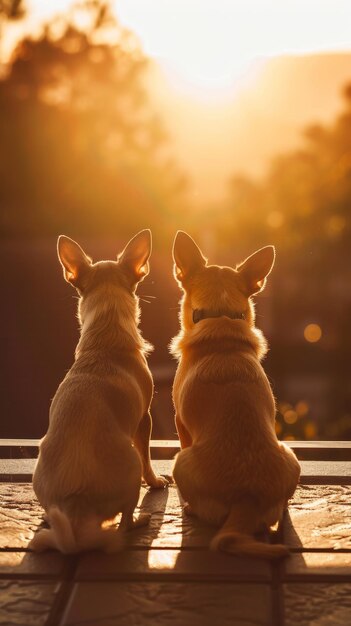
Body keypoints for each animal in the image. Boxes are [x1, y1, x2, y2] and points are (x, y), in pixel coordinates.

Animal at [30, 229, 168, 552]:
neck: (106, 336)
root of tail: (77, 507)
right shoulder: (145, 418)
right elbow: (148, 457)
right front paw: (156, 481)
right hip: (130, 465)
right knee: (126, 518)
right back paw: (140, 521)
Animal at [170, 232, 300, 560]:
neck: (221, 316)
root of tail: (246, 497)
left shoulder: (179, 422)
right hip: (291, 454)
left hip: (181, 460)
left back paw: (189, 508)